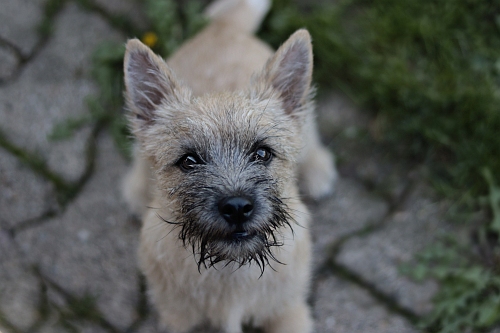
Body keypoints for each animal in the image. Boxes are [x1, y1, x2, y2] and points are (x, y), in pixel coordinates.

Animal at [123, 0, 338, 330]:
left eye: (262, 153)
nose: (237, 208)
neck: (230, 271)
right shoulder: (177, 318)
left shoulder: (288, 311)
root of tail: (223, 27)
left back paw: (317, 172)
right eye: (188, 160)